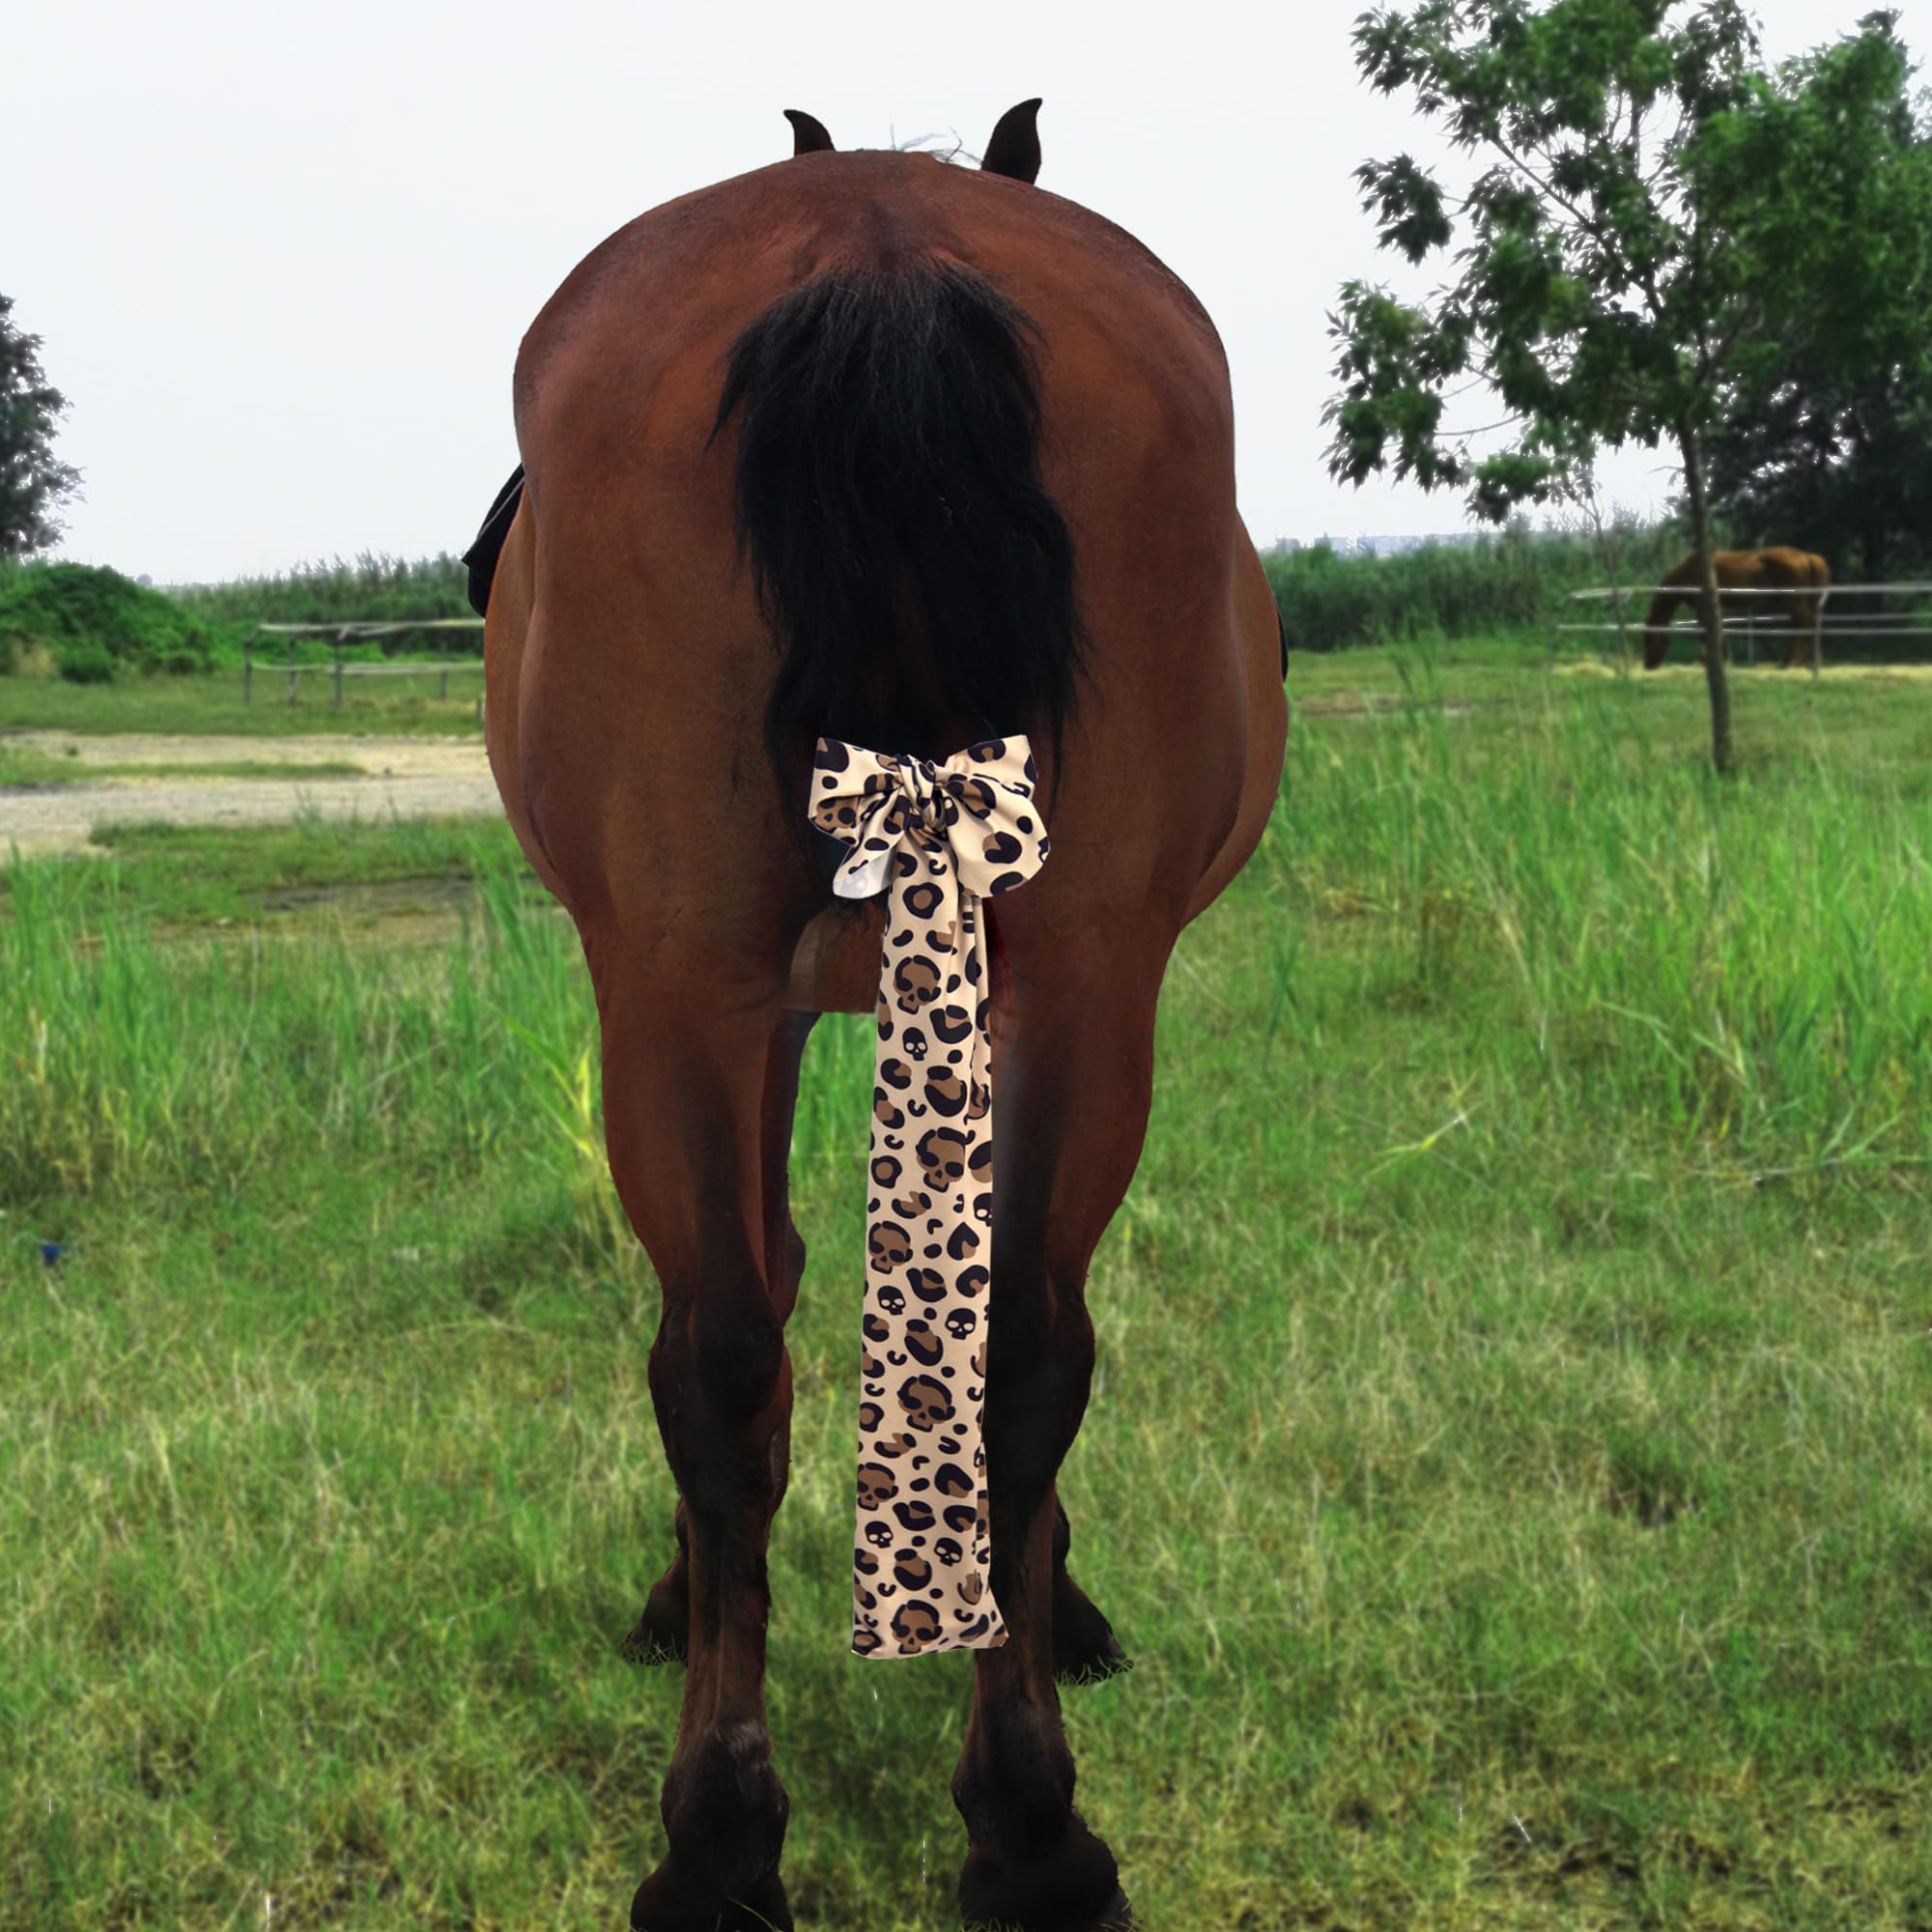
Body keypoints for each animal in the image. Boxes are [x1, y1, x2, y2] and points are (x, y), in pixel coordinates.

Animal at [479, 99, 1287, 1932]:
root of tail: (881, 246)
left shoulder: (759, 1003)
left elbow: (771, 1306)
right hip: (1052, 977)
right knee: (975, 1350)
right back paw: (1010, 1832)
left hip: (705, 976)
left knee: (750, 1354)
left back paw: (751, 1843)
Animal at [1640, 546, 1830, 670]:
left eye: (1649, 638)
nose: (1648, 665)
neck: (1689, 570)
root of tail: (1806, 556)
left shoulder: (1702, 605)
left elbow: (1703, 631)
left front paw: (1707, 660)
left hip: (1794, 602)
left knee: (1806, 626)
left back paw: (1788, 663)